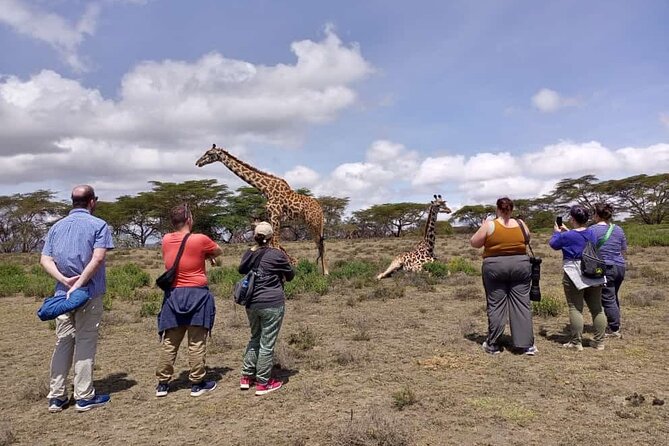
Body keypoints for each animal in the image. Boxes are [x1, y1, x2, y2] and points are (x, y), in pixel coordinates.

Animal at [194, 145, 328, 274]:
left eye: (209, 153)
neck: (266, 189)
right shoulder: (270, 216)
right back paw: (321, 271)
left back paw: (325, 273)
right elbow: (273, 242)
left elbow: (275, 243)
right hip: (311, 225)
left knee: (321, 244)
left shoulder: (275, 214)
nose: (197, 163)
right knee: (319, 243)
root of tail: (320, 209)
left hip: (314, 223)